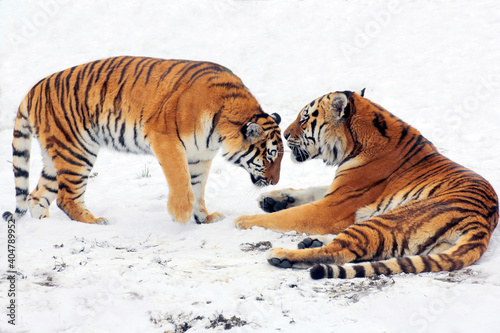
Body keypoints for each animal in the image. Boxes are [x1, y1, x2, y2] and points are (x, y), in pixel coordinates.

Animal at [3, 55, 284, 224]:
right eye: (270, 157)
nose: (274, 182)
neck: (220, 131)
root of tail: (34, 88)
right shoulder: (167, 140)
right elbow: (181, 179)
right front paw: (181, 213)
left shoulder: (200, 156)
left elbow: (198, 187)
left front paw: (204, 217)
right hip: (77, 150)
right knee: (66, 197)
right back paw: (95, 222)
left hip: (56, 156)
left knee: (36, 195)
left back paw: (46, 225)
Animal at [236, 90, 498, 278]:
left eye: (304, 119)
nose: (286, 134)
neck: (354, 144)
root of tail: (482, 223)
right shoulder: (337, 191)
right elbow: (312, 191)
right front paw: (272, 199)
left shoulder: (332, 208)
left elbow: (287, 217)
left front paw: (245, 220)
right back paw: (309, 241)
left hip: (387, 219)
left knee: (342, 251)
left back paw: (282, 255)